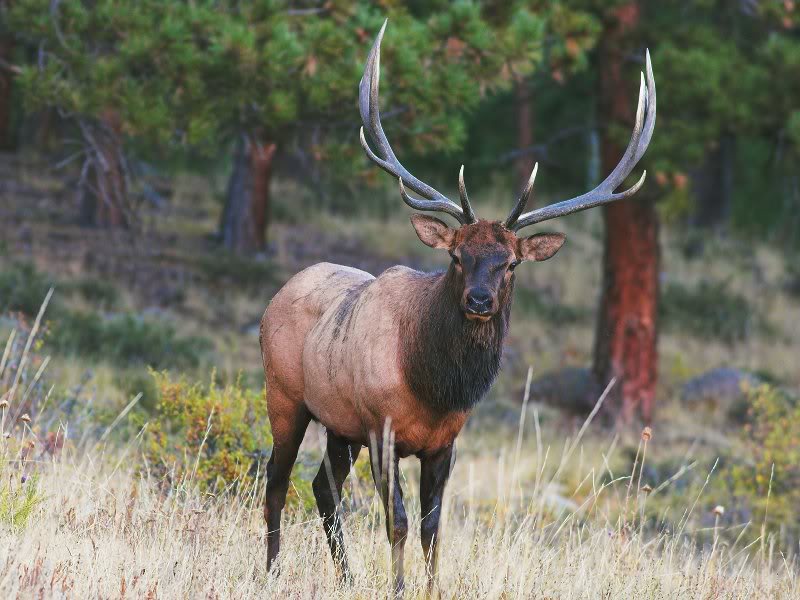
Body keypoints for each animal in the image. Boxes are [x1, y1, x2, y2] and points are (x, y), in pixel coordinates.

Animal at [260, 21, 656, 595]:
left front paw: (429, 587)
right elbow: (398, 522)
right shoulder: (382, 428)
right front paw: (398, 587)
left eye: (510, 263)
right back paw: (270, 571)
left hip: (339, 425)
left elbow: (432, 528)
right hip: (286, 397)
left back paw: (346, 578)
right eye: (455, 256)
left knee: (321, 488)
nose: (479, 300)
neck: (433, 385)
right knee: (277, 480)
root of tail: (280, 291)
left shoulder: (445, 442)